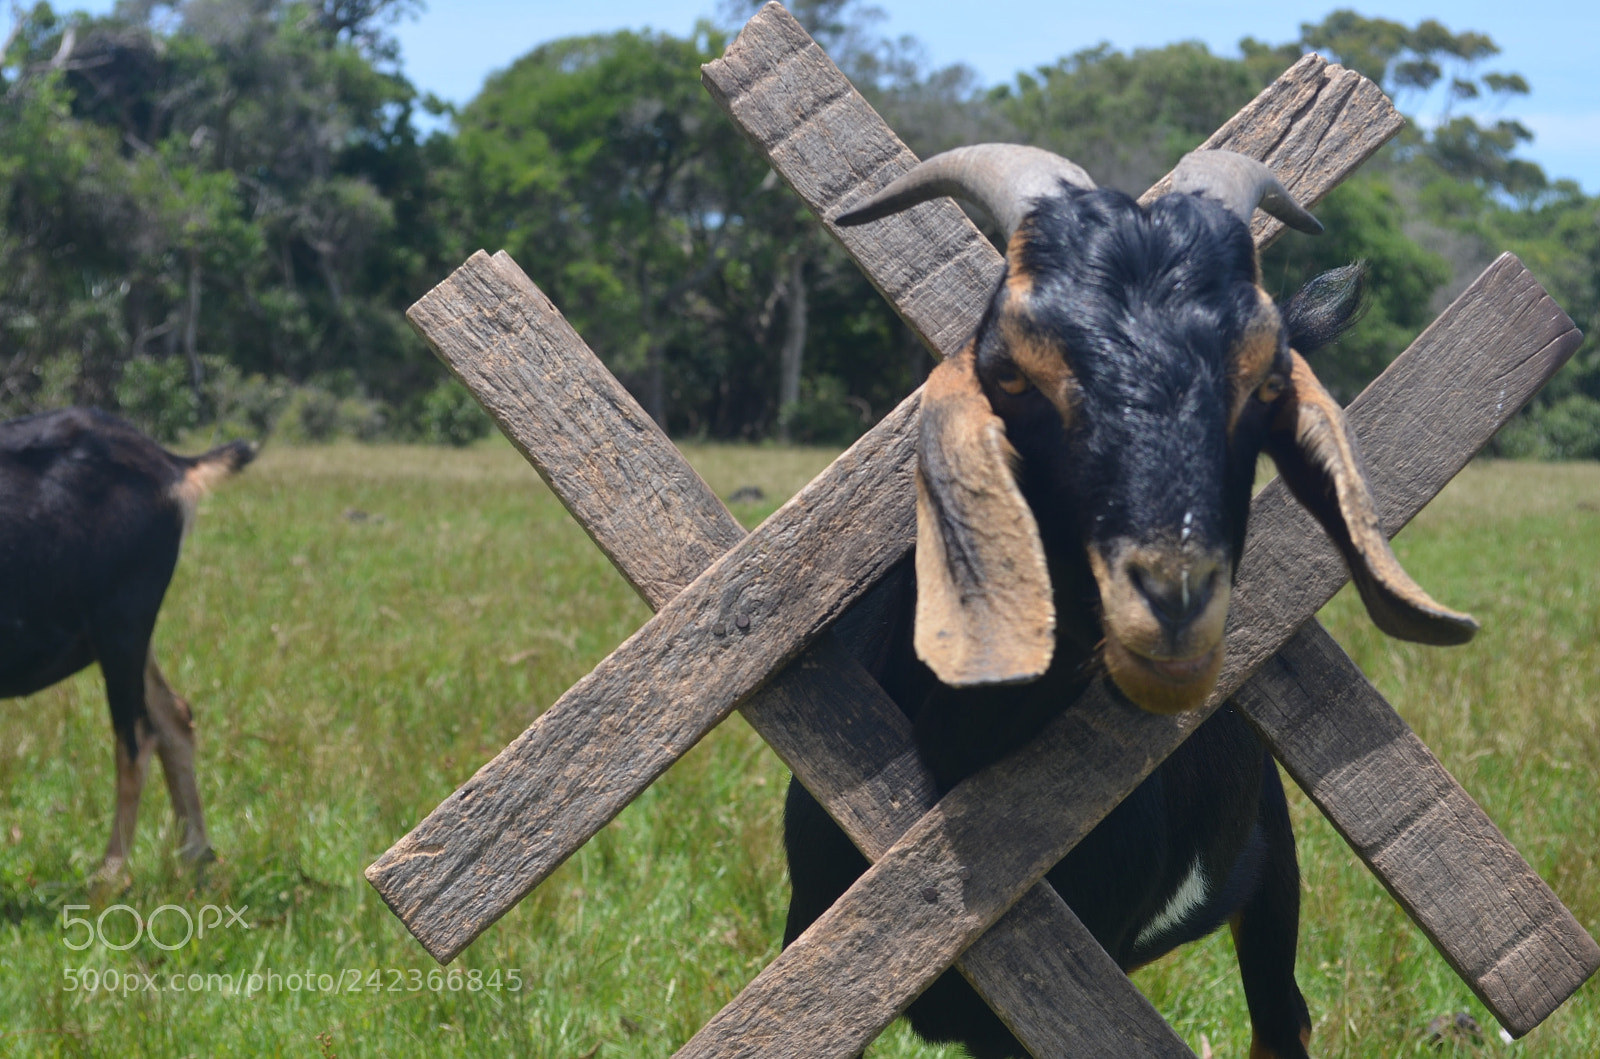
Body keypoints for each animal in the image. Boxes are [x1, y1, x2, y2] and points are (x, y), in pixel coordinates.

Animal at [1, 407, 255, 879]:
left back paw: (110, 877)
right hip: (129, 632)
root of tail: (171, 465)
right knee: (174, 718)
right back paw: (194, 859)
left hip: (122, 618)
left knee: (136, 737)